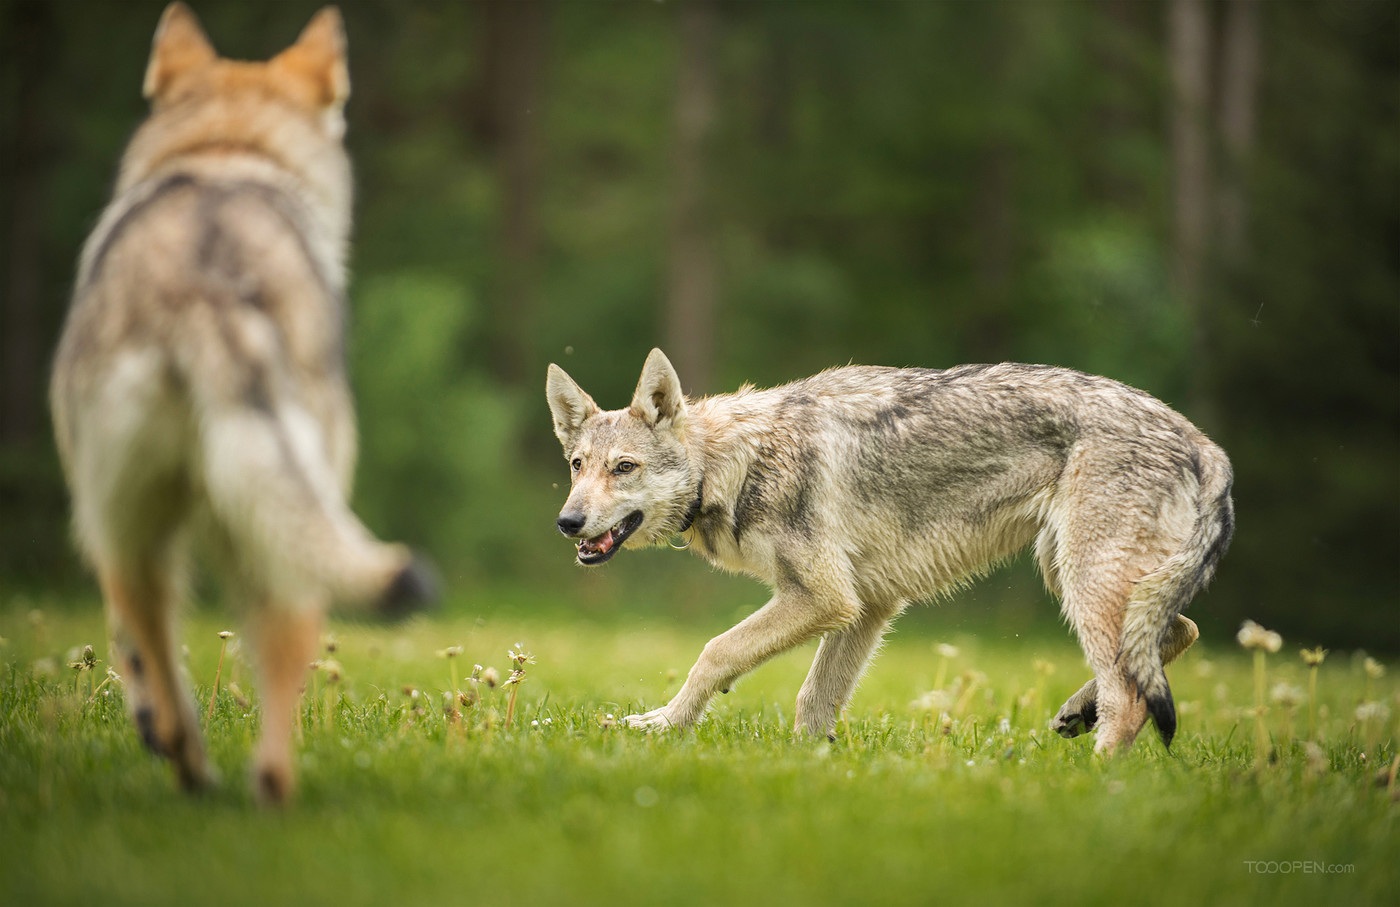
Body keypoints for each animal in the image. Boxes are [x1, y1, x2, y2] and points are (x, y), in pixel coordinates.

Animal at [50, 3, 431, 806]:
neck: (225, 154)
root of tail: (207, 288)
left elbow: (133, 648)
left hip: (138, 531)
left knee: (167, 650)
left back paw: (201, 770)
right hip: (258, 517)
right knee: (271, 660)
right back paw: (262, 788)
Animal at [548, 351, 1237, 755]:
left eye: (624, 468)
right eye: (578, 465)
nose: (567, 522)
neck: (738, 461)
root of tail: (1210, 449)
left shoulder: (825, 598)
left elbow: (714, 653)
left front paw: (661, 727)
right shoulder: (866, 605)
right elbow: (814, 700)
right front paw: (813, 763)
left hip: (1082, 581)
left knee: (1130, 695)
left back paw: (1093, 781)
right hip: (1070, 572)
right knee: (1176, 635)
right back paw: (1077, 713)